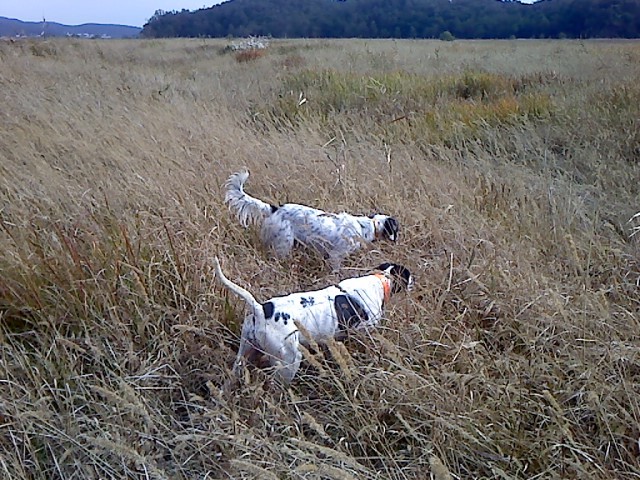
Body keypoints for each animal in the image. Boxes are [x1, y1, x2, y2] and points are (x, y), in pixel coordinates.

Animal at [214, 256, 414, 384]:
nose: (414, 282)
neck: (380, 281)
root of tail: (260, 309)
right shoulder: (363, 334)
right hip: (290, 361)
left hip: (245, 353)